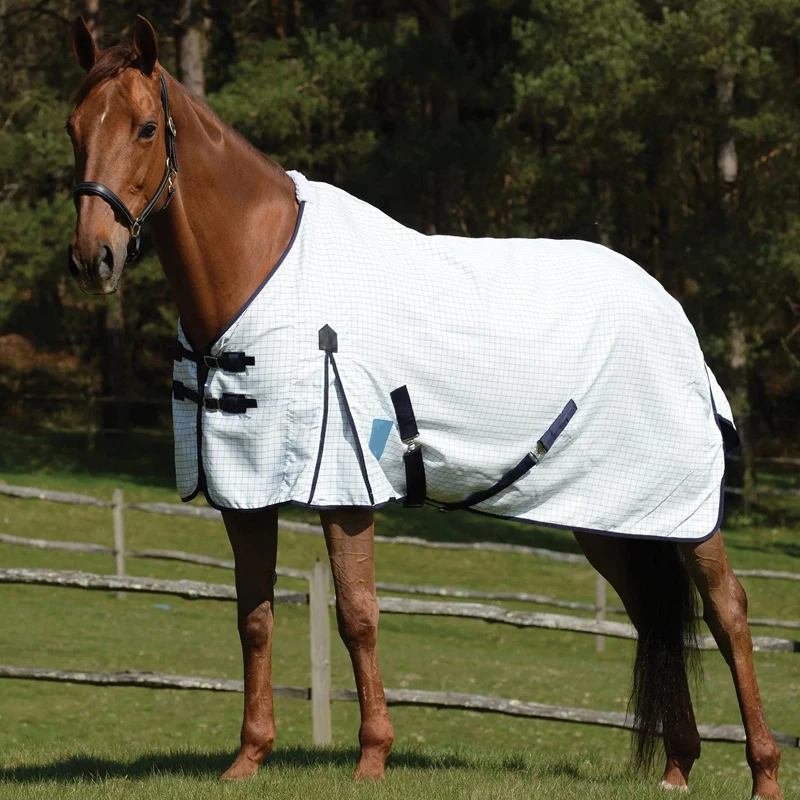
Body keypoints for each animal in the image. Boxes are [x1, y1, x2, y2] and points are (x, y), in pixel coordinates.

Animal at [65, 16, 782, 798]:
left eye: (144, 127)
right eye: (73, 127)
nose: (93, 257)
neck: (262, 271)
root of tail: (670, 308)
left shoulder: (344, 491)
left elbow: (358, 615)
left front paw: (372, 758)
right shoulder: (243, 493)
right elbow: (254, 619)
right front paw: (248, 759)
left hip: (686, 513)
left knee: (729, 610)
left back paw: (765, 772)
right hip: (611, 517)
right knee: (651, 615)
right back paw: (678, 768)